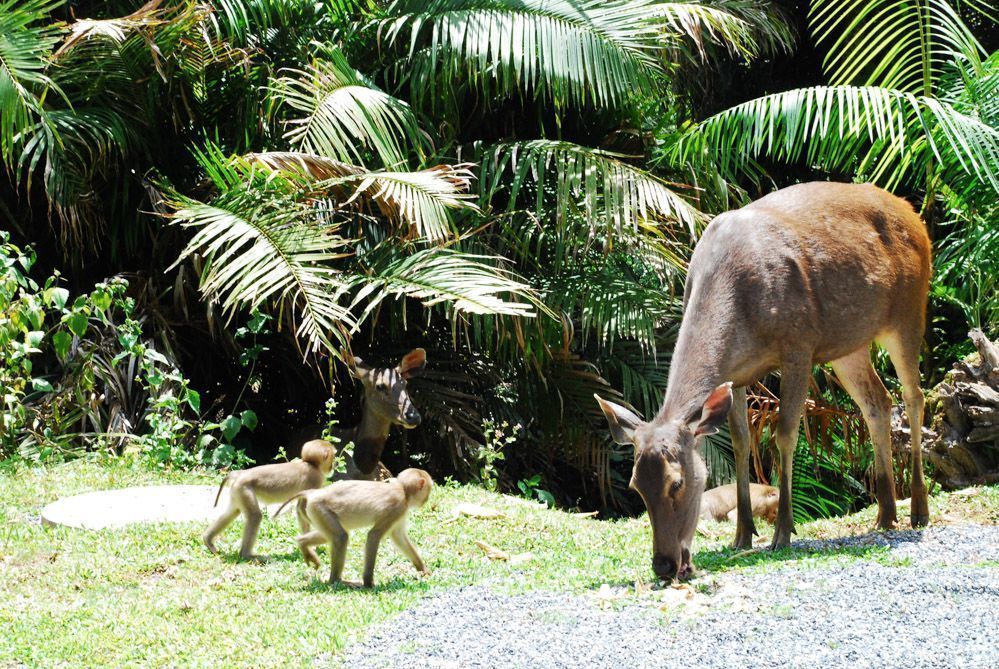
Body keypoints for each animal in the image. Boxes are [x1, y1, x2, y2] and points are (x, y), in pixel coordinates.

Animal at [596, 182, 931, 581]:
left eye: (677, 482)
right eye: (636, 486)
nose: (663, 564)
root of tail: (915, 216)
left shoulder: (799, 344)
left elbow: (785, 434)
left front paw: (782, 532)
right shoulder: (736, 373)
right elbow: (741, 443)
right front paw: (742, 534)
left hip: (910, 310)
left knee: (914, 396)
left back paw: (919, 510)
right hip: (848, 344)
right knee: (877, 402)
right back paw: (885, 514)